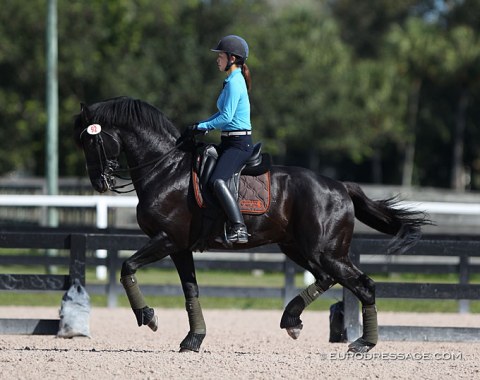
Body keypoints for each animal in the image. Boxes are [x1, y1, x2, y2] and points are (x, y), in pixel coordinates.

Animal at [74, 95, 432, 354]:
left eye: (92, 141)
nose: (99, 183)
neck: (166, 170)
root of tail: (341, 186)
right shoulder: (179, 247)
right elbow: (190, 289)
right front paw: (193, 339)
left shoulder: (165, 239)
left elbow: (127, 267)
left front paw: (147, 317)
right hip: (299, 248)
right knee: (327, 278)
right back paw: (292, 320)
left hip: (326, 251)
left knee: (363, 285)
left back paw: (362, 343)